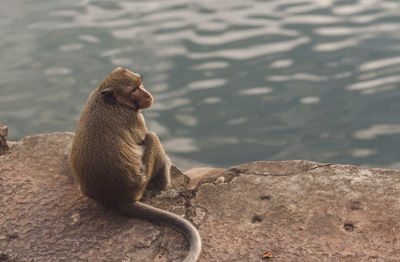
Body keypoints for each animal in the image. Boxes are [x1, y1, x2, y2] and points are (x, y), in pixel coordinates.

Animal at [69, 67, 202, 262]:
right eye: (133, 90)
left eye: (140, 85)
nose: (147, 94)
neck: (111, 101)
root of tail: (117, 199)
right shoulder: (134, 117)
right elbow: (144, 137)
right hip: (141, 179)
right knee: (152, 137)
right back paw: (164, 185)